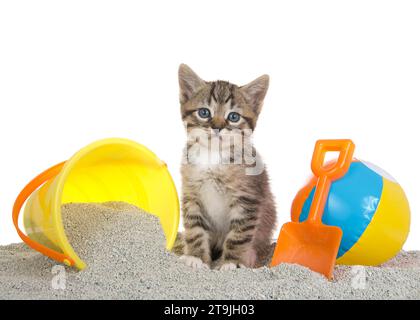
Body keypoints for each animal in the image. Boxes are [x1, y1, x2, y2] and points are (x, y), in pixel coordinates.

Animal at [176, 63, 276, 270]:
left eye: (234, 116)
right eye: (204, 112)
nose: (217, 127)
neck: (212, 157)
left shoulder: (247, 199)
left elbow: (238, 236)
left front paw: (232, 263)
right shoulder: (191, 194)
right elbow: (194, 230)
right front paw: (196, 258)